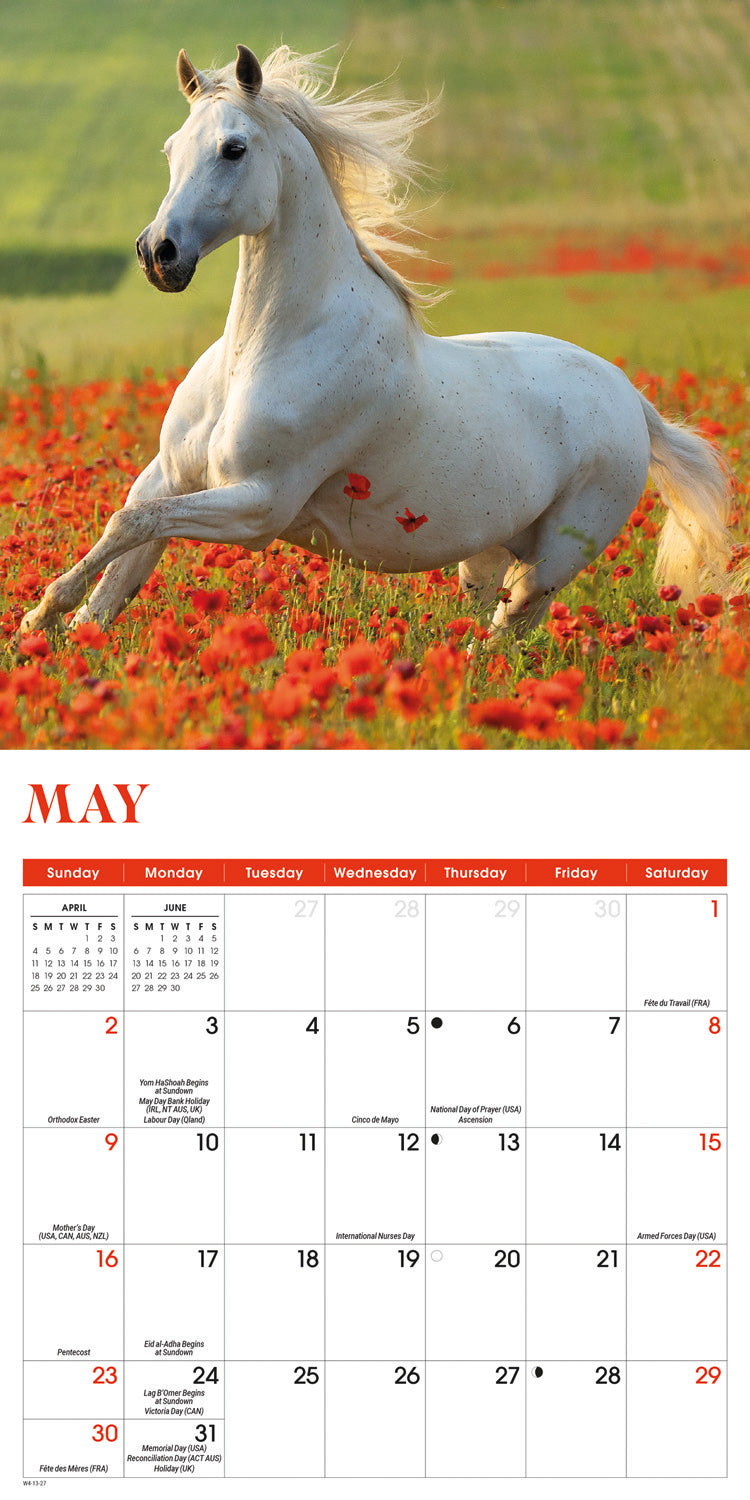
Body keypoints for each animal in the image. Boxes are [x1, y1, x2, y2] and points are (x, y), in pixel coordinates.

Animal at [18, 42, 739, 644]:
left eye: (234, 149)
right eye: (171, 148)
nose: (158, 254)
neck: (262, 351)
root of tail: (633, 402)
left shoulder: (259, 505)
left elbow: (129, 526)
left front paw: (40, 611)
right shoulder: (169, 475)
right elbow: (121, 557)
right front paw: (53, 628)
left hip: (550, 564)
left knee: (505, 637)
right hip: (484, 555)